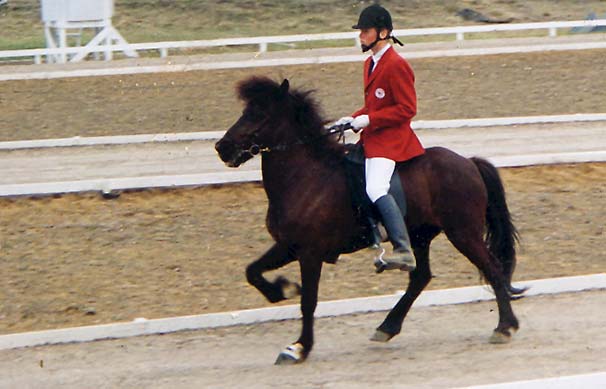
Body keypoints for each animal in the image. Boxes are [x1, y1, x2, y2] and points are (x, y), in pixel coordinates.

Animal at [215, 75, 528, 364]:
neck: (304, 177)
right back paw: (387, 327)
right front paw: (281, 290)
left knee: (492, 269)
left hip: (463, 232)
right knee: (420, 277)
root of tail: (468, 162)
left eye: (259, 114)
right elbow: (253, 271)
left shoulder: (310, 252)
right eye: (245, 110)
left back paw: (505, 327)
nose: (222, 148)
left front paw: (299, 347)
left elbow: (308, 301)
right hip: (419, 236)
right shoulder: (288, 246)